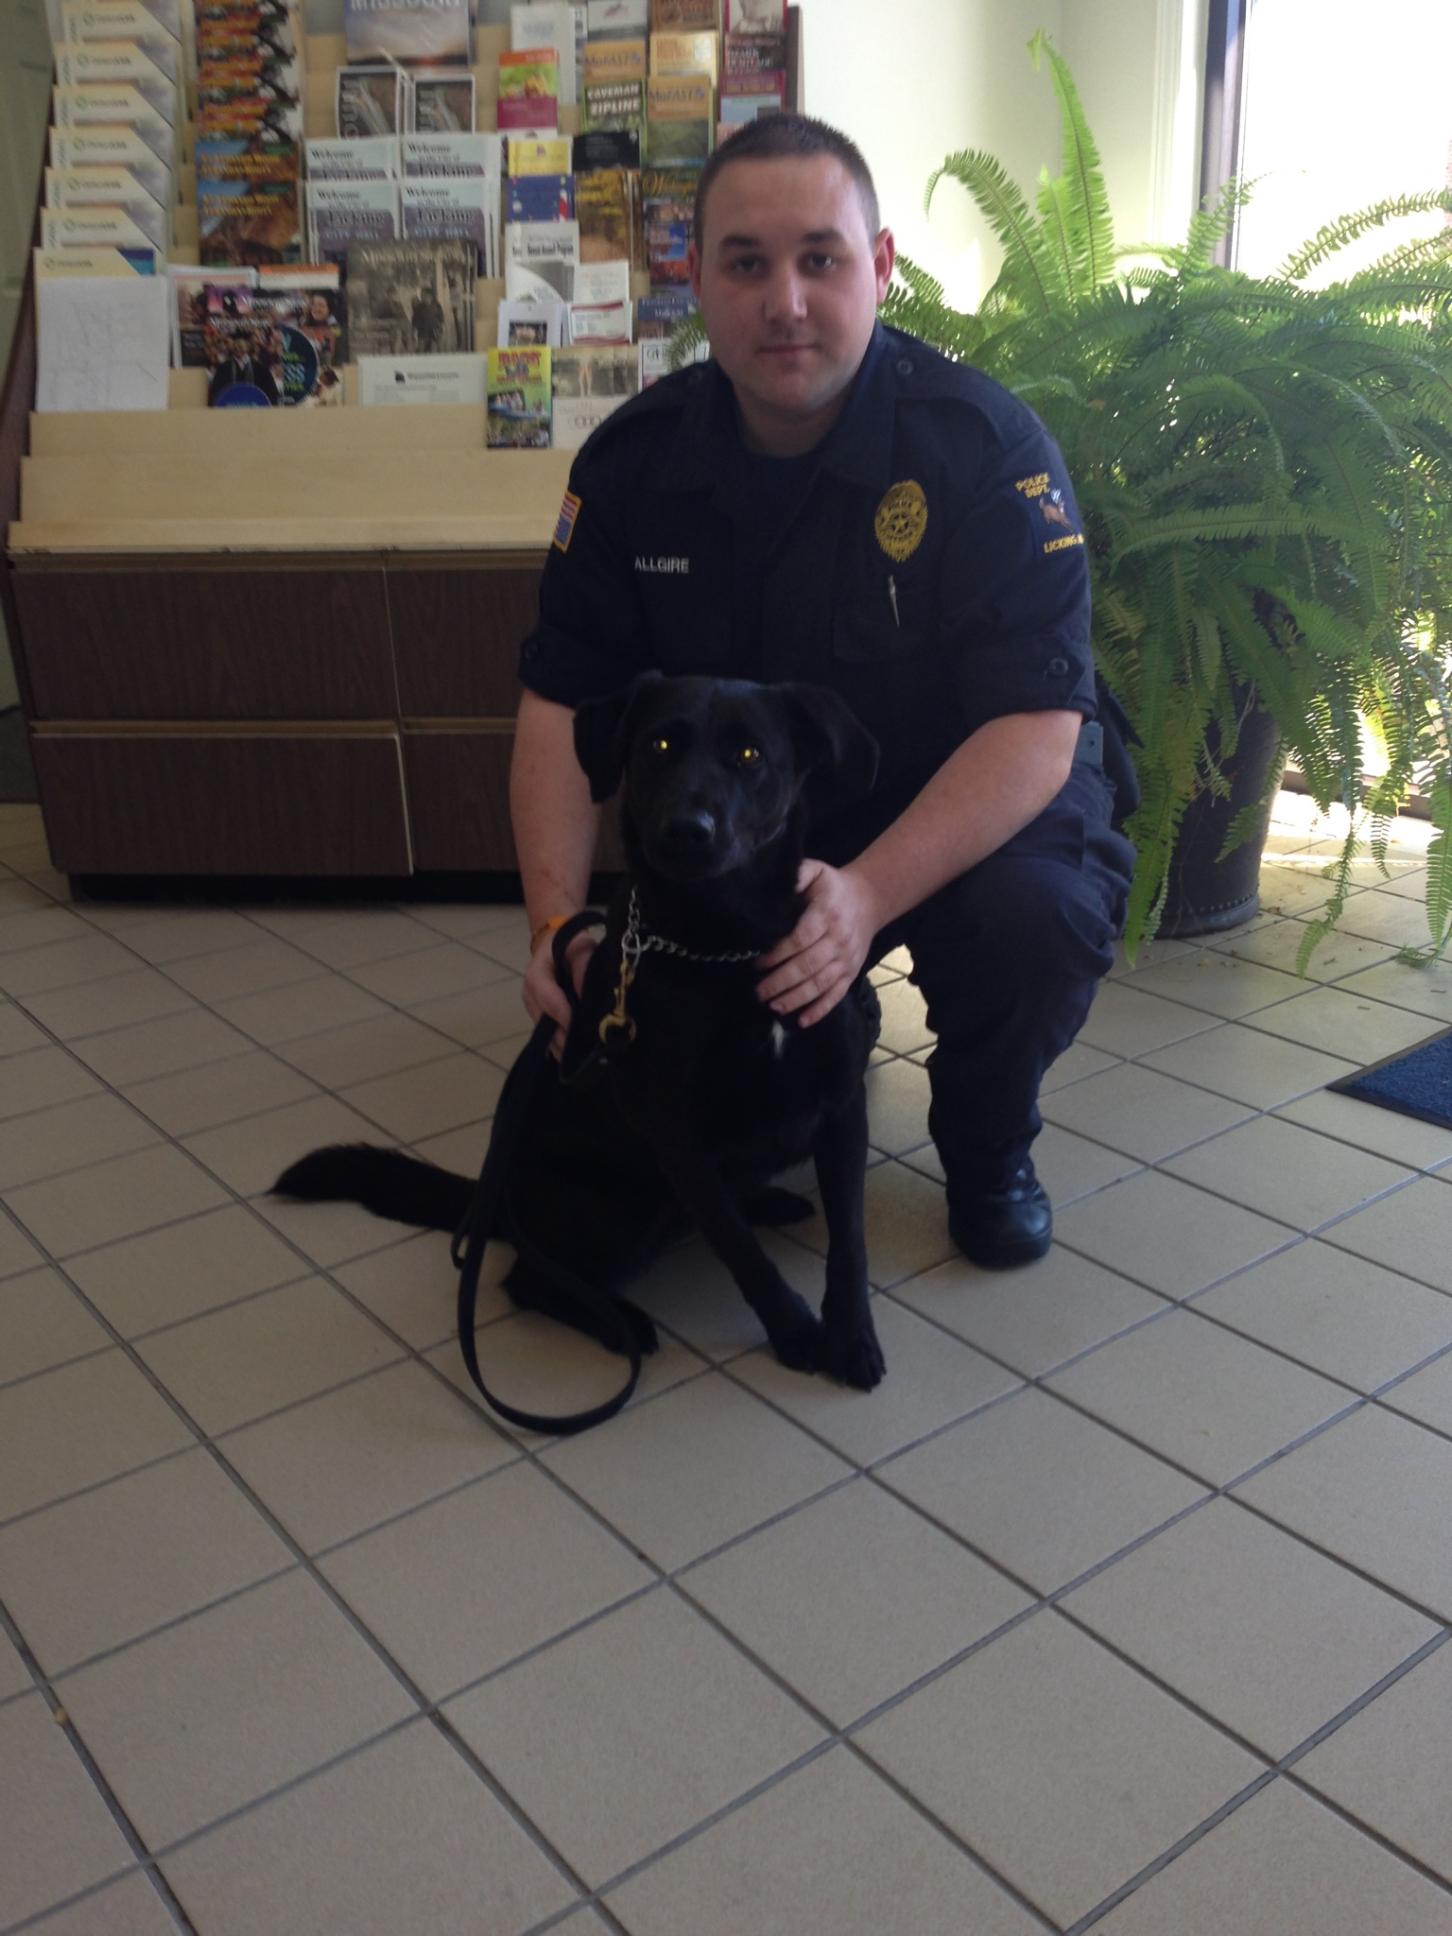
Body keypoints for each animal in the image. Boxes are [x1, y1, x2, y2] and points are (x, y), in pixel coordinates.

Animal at [272, 673, 886, 1386]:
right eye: (659, 745)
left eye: (749, 755)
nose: (686, 831)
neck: (730, 945)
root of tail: (497, 1200)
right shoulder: (677, 1138)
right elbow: (742, 1253)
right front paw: (796, 1333)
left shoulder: (841, 1104)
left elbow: (850, 1242)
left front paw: (852, 1336)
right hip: (621, 1206)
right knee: (531, 1280)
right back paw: (620, 1321)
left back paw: (769, 1204)